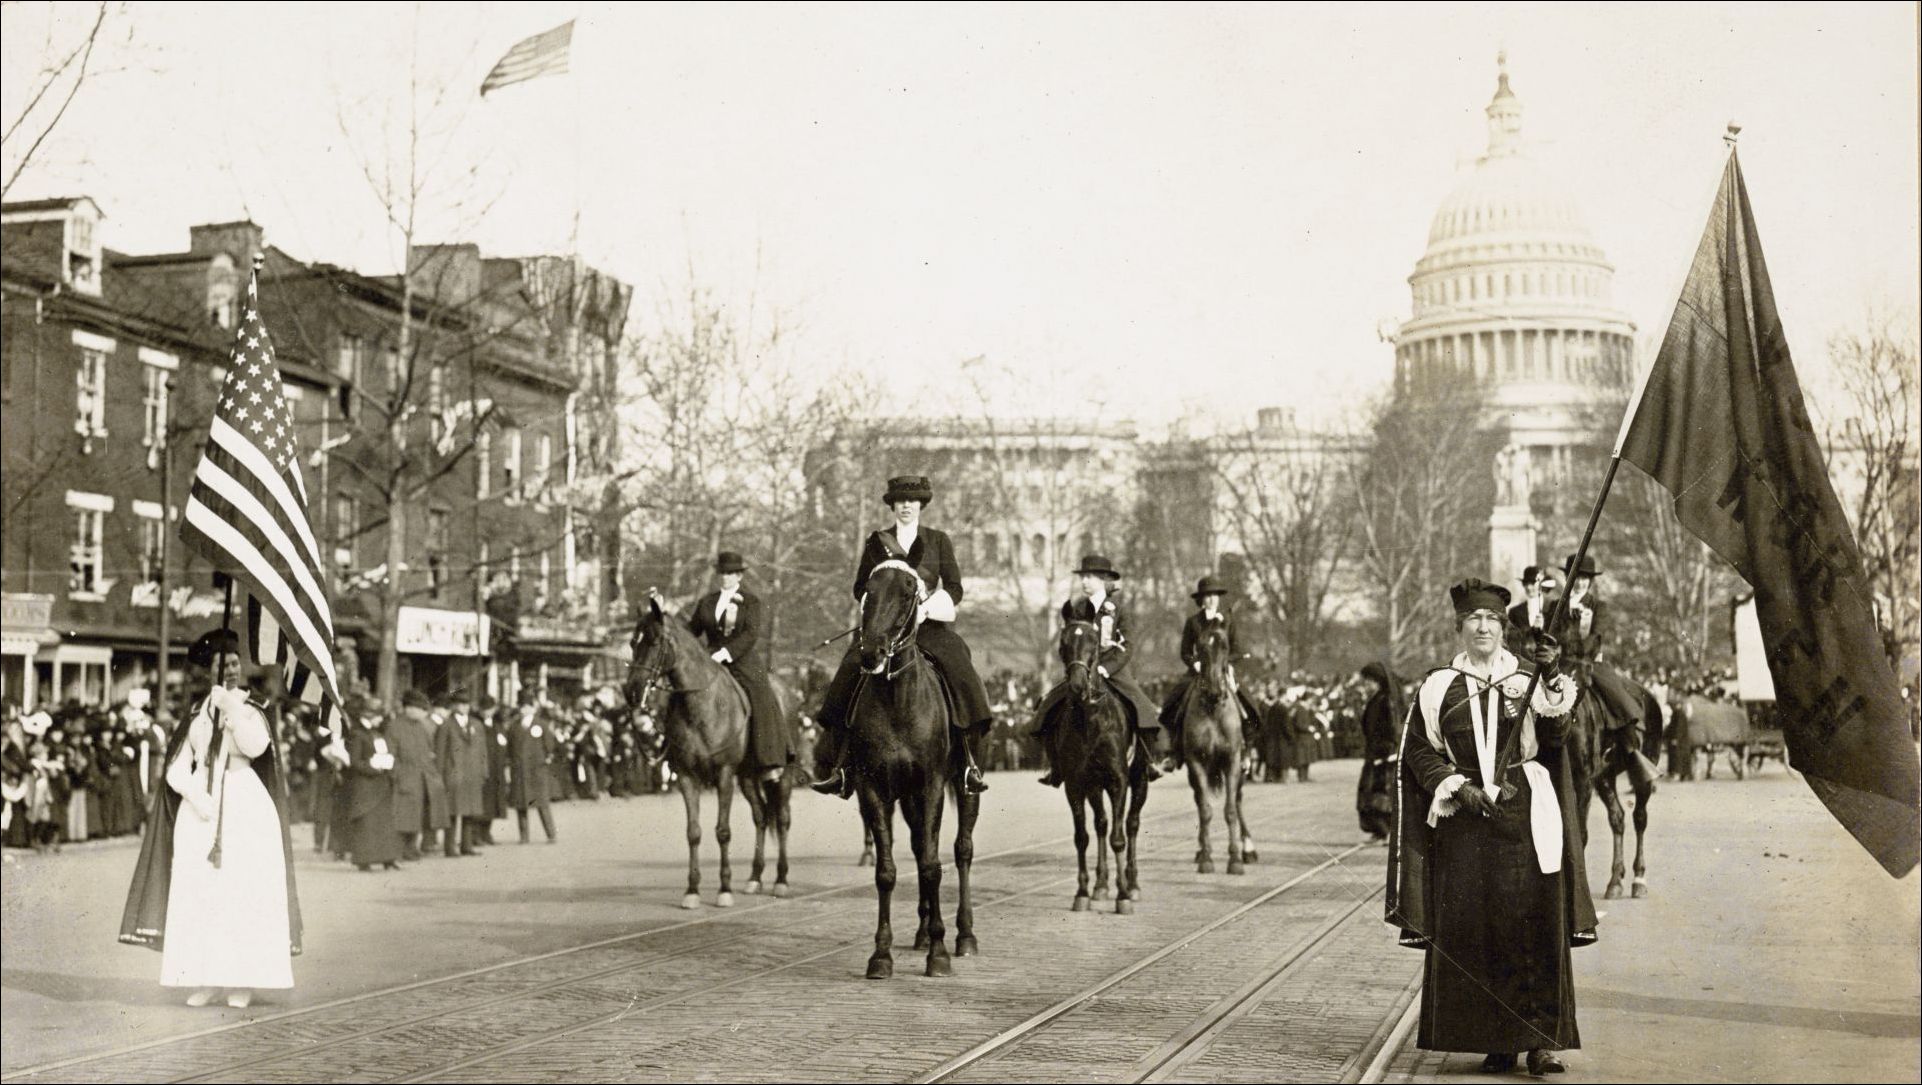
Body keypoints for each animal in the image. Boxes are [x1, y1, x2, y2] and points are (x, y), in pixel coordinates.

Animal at [622, 591, 788, 906]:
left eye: (654, 641)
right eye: (632, 642)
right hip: (747, 776)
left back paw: (781, 879)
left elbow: (722, 831)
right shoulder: (687, 776)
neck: (702, 705)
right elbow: (694, 832)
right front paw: (692, 890)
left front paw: (724, 889)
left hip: (781, 774)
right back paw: (755, 877)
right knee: (761, 816)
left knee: (782, 818)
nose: (631, 692)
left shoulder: (724, 774)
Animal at [849, 564, 984, 975]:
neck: (898, 700)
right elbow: (887, 871)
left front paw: (939, 953)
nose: (871, 653)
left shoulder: (931, 786)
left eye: (909, 592)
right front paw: (881, 954)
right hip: (908, 798)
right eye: (868, 591)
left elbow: (931, 865)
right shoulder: (873, 790)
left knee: (961, 850)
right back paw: (924, 930)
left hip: (964, 785)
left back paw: (964, 935)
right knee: (920, 843)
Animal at [1045, 622, 1145, 910]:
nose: (1078, 685)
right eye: (1063, 645)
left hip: (1140, 781)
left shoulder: (1118, 780)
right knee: (1101, 824)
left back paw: (1133, 884)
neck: (1090, 720)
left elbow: (1118, 838)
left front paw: (1123, 895)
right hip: (1094, 788)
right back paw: (1101, 885)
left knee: (1131, 824)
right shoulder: (1076, 785)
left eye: (1094, 643)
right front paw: (1082, 892)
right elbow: (1082, 837)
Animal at [1176, 626, 1253, 871]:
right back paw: (1202, 850)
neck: (1212, 708)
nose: (1214, 689)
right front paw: (1206, 857)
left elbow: (1230, 810)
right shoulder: (1196, 763)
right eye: (1200, 647)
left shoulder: (1232, 761)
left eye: (1225, 647)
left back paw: (1249, 848)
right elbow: (1205, 810)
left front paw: (1235, 859)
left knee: (1237, 800)